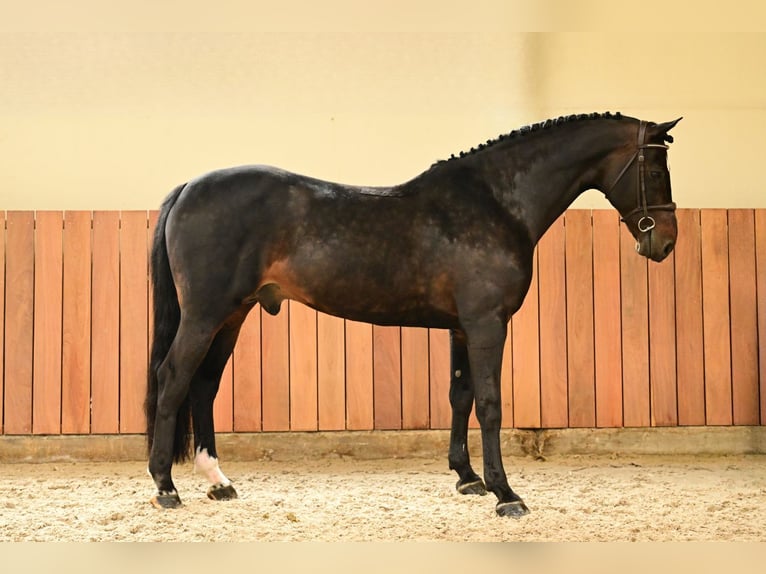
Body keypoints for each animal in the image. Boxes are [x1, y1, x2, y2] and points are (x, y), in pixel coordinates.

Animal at [145, 112, 681, 517]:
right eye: (655, 170)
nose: (665, 242)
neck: (495, 202)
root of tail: (189, 187)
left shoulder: (462, 328)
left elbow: (460, 396)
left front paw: (468, 479)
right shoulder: (487, 324)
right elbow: (490, 404)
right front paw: (506, 494)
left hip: (232, 315)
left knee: (203, 385)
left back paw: (218, 481)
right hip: (205, 315)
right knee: (173, 379)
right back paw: (166, 487)